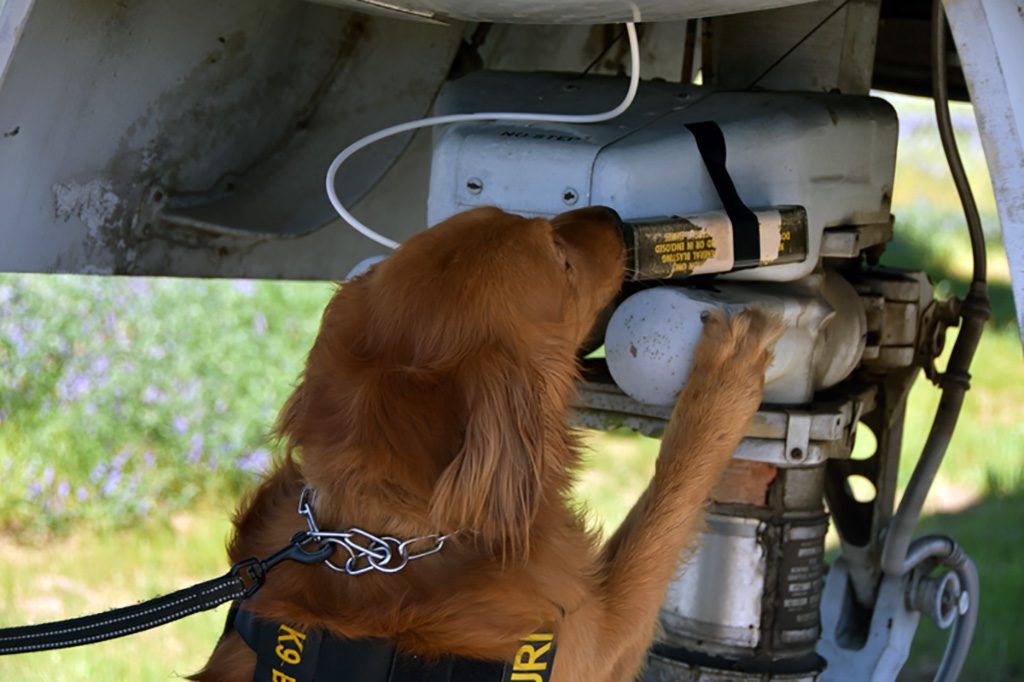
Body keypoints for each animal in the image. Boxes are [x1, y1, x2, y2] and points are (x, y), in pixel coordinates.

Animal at [192, 204, 778, 675]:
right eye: (561, 259)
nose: (612, 215)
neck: (387, 539)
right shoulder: (600, 643)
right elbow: (667, 503)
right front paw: (725, 377)